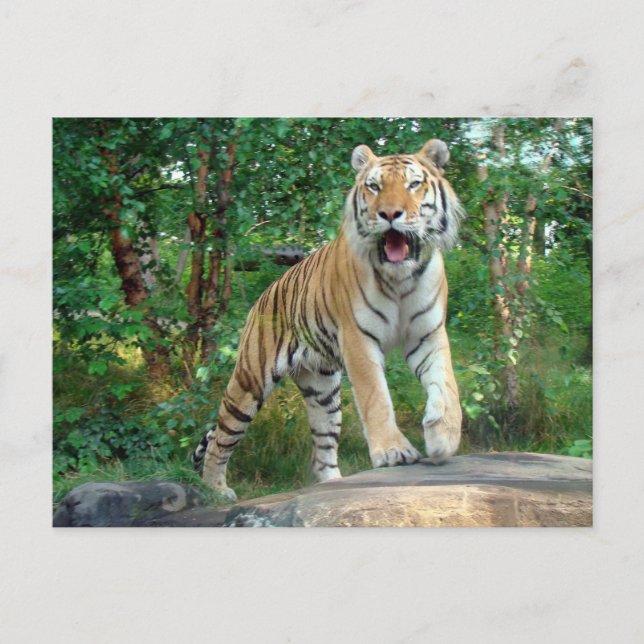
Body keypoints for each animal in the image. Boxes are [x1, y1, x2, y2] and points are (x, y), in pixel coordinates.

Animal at [192, 138, 464, 501]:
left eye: (414, 184)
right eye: (374, 187)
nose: (390, 214)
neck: (400, 278)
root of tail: (263, 296)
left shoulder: (427, 335)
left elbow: (447, 387)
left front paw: (442, 438)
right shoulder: (359, 339)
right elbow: (376, 397)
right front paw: (393, 451)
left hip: (323, 391)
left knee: (321, 449)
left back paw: (334, 486)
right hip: (250, 382)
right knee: (221, 438)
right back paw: (216, 489)